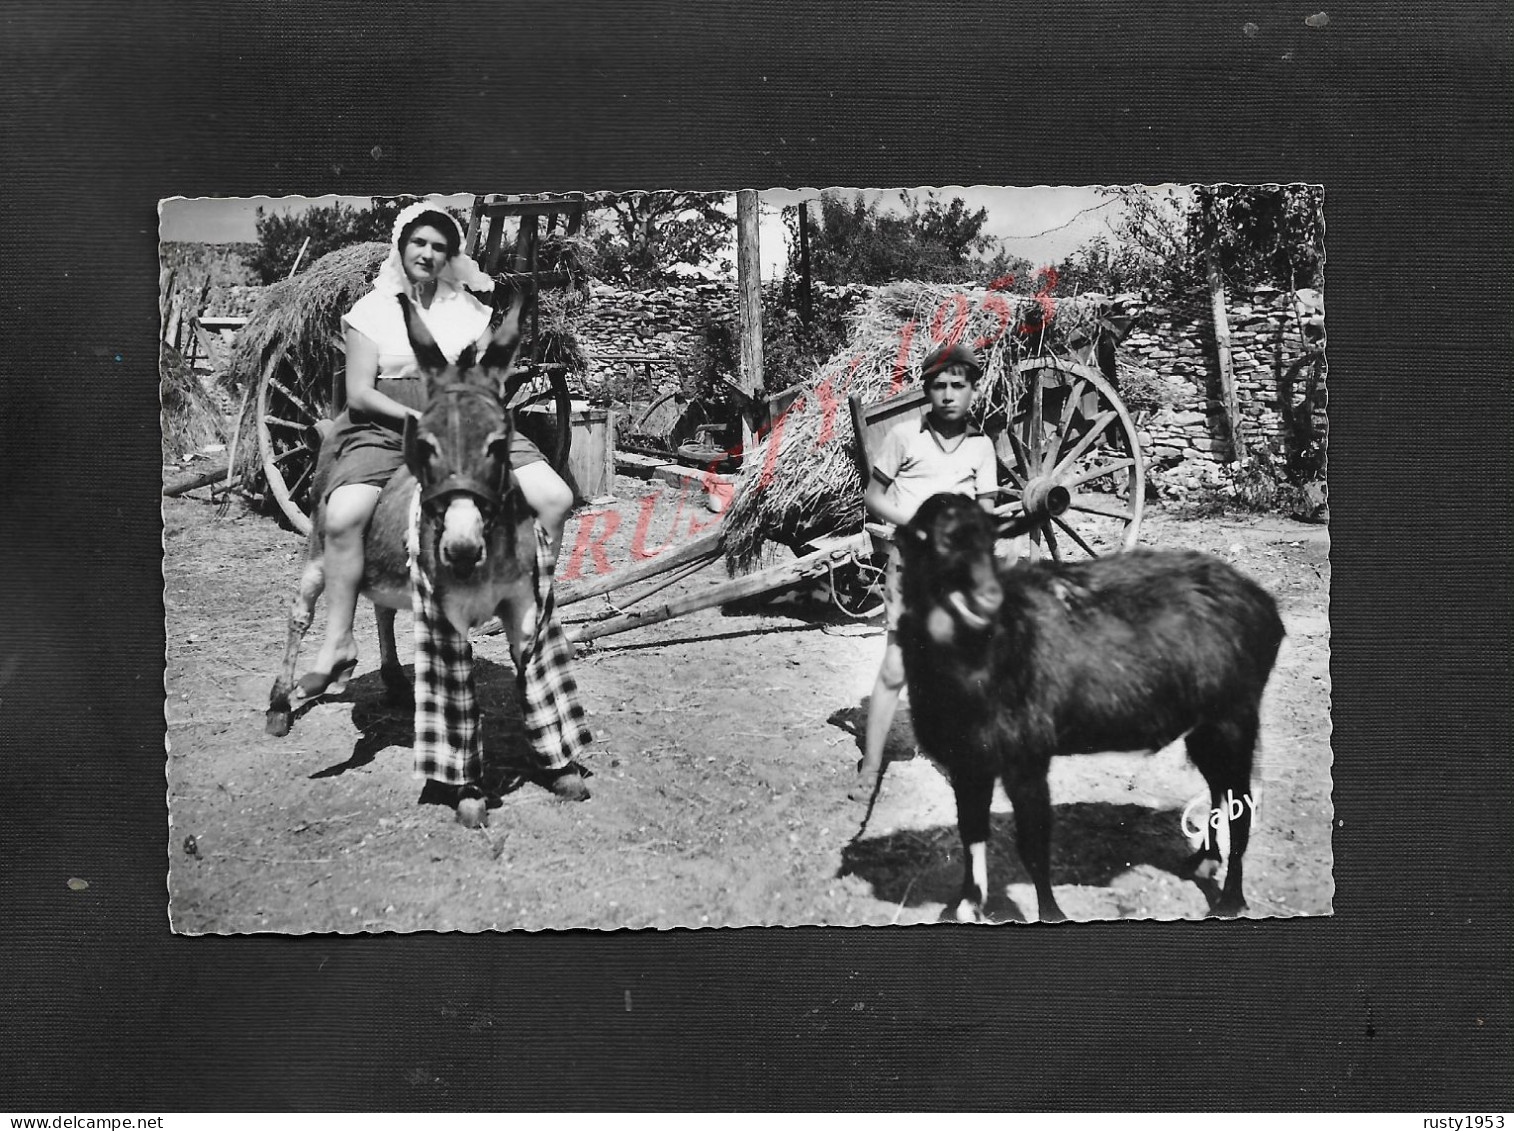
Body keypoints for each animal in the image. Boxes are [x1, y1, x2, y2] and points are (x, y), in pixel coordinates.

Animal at [890, 496, 1283, 920]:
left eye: (992, 541)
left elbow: (1033, 845)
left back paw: (1230, 900)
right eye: (940, 541)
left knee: (1241, 804)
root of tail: (1265, 606)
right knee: (1219, 791)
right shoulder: (968, 761)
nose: (988, 597)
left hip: (1234, 717)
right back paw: (1205, 860)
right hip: (1205, 727)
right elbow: (972, 832)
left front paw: (1051, 913)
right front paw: (966, 904)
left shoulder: (1026, 758)